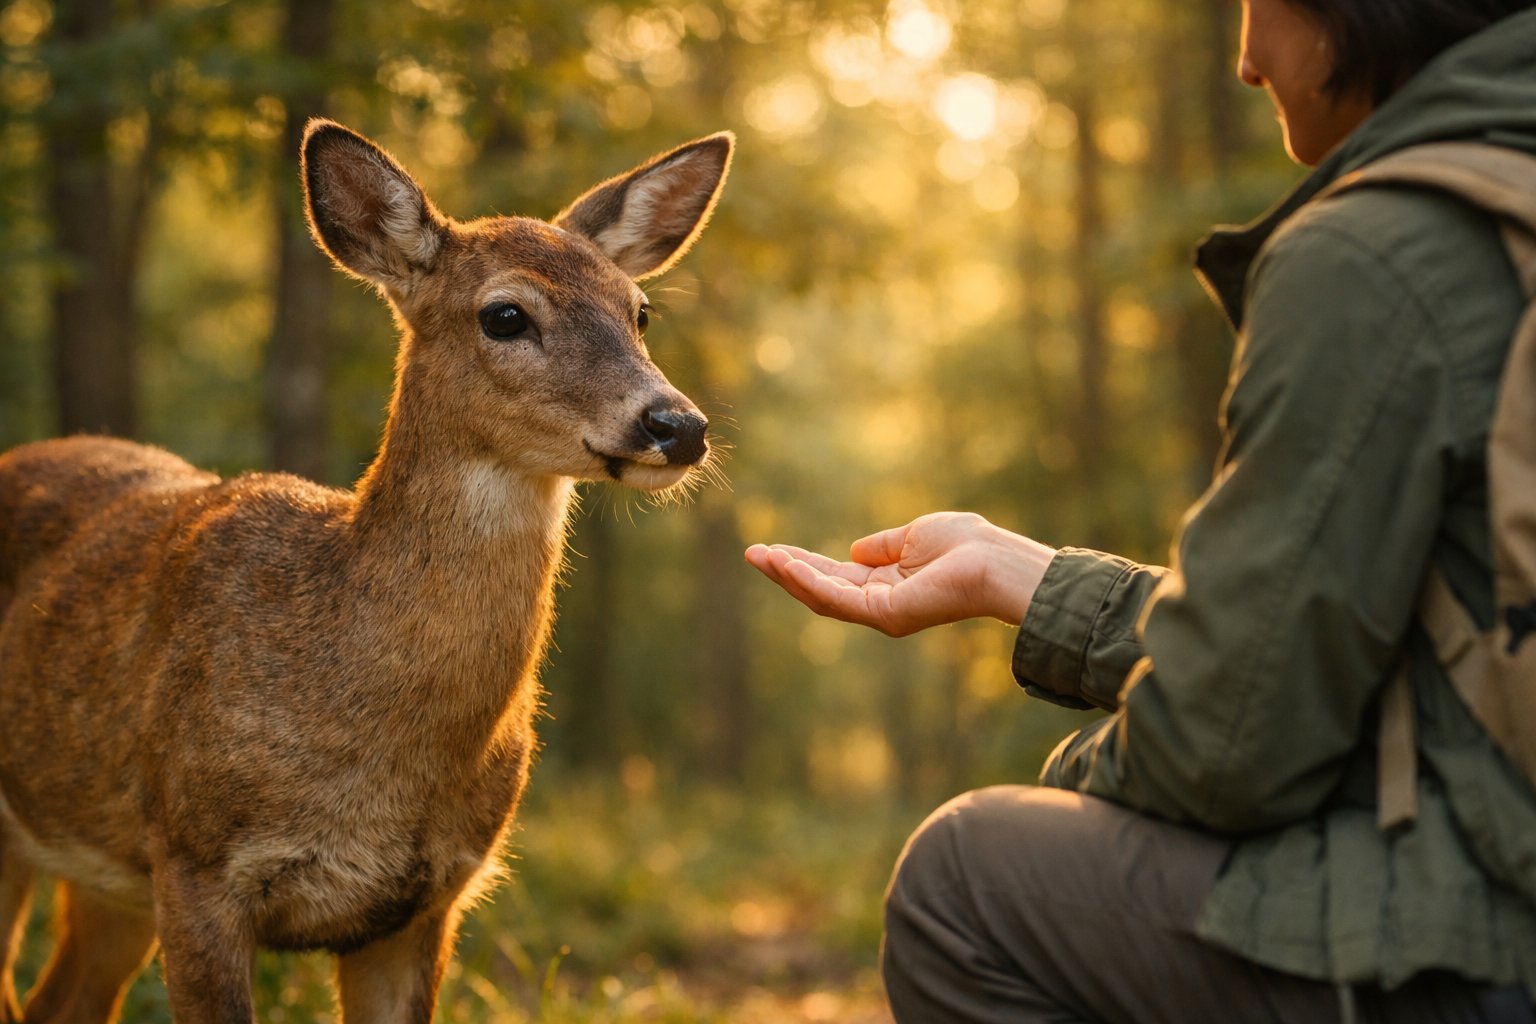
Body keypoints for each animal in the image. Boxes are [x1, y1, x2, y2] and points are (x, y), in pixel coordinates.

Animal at [0, 118, 733, 1023]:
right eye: (505, 315)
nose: (678, 425)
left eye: (641, 312)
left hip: (111, 884)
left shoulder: (426, 902)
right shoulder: (195, 863)